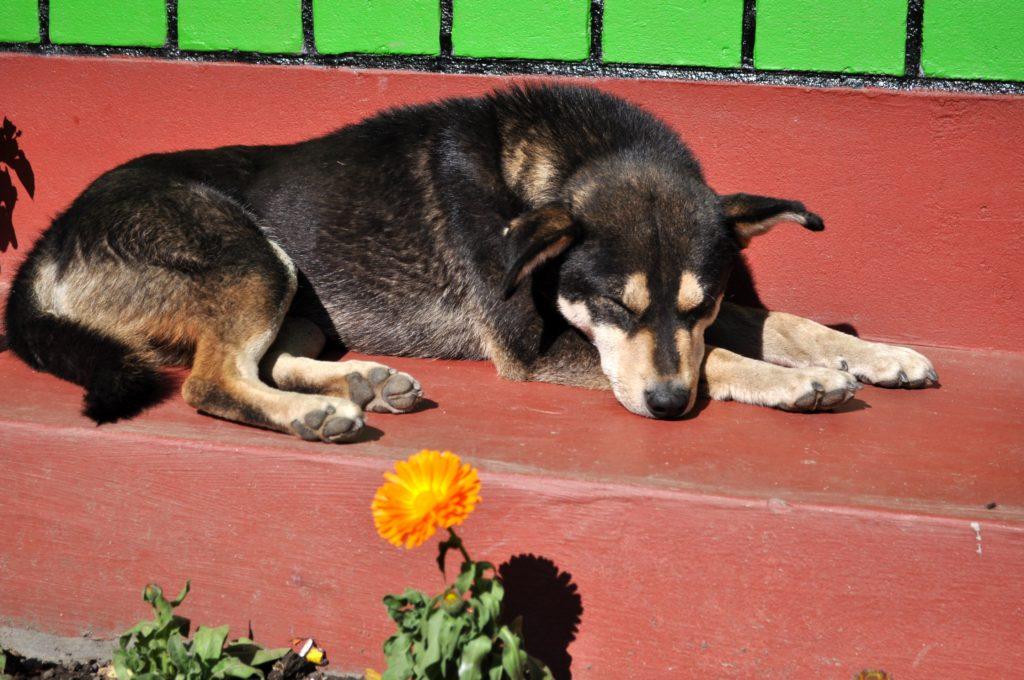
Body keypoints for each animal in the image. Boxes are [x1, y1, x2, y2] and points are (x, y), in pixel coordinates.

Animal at [4, 82, 937, 444]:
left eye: (697, 305)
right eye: (617, 309)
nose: (669, 409)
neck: (560, 170)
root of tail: (49, 238)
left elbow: (777, 321)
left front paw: (879, 354)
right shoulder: (539, 346)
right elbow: (726, 362)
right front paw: (794, 381)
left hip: (300, 294)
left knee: (263, 358)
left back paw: (364, 381)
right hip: (252, 257)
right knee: (210, 380)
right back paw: (317, 413)